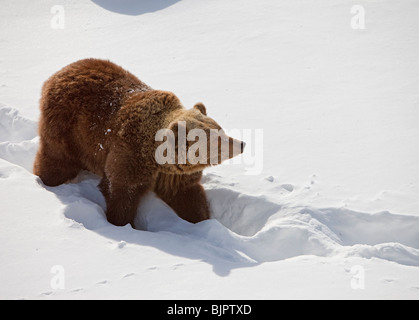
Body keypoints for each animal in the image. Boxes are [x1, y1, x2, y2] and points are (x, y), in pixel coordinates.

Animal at [33, 58, 246, 228]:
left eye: (220, 129)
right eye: (217, 140)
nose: (241, 143)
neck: (157, 156)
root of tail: (57, 74)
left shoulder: (172, 174)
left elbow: (188, 196)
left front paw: (203, 223)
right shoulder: (130, 154)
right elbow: (122, 192)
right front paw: (123, 224)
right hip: (66, 129)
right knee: (56, 162)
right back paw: (44, 182)